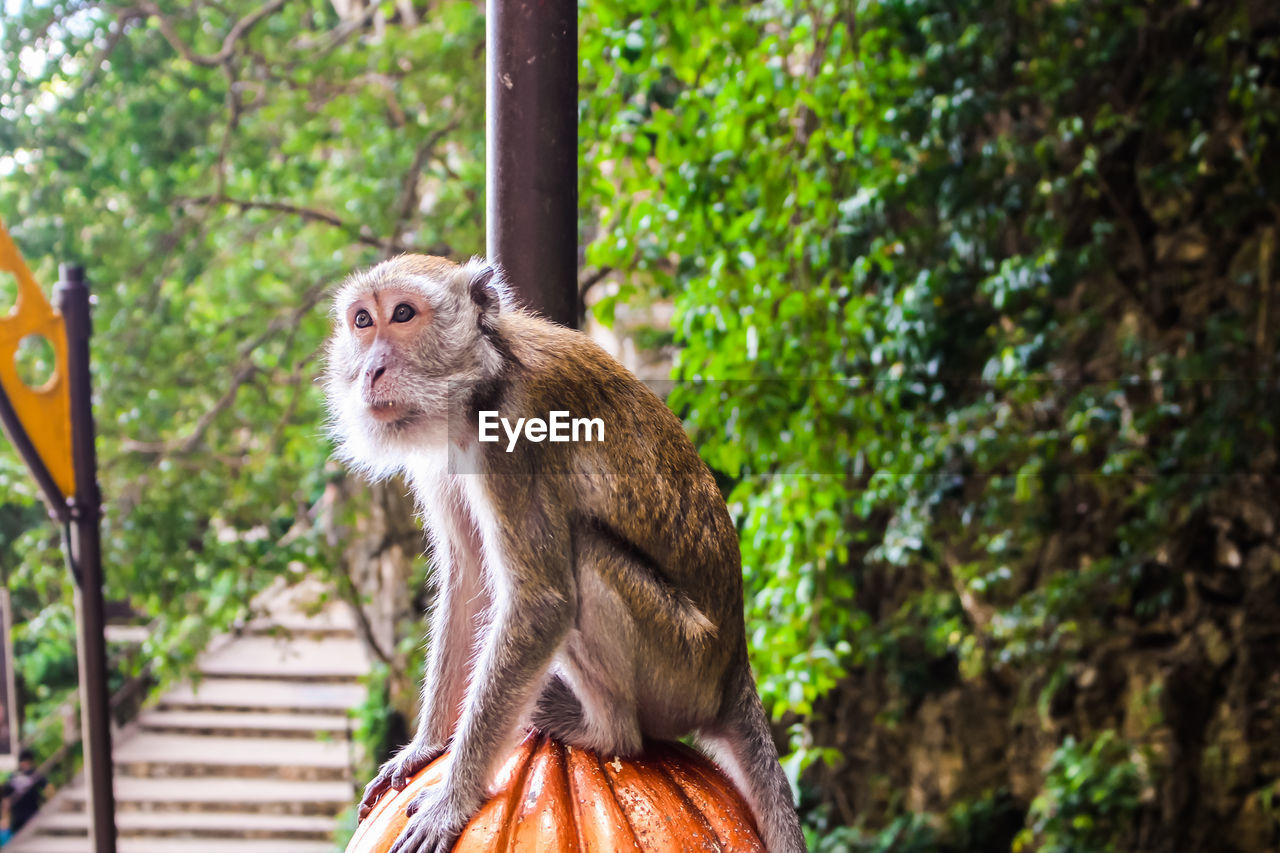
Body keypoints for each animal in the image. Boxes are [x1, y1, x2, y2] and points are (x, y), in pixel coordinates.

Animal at [325, 253, 803, 850]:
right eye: (363, 322)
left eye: (404, 314)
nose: (371, 370)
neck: (483, 383)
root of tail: (734, 665)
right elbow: (470, 576)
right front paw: (426, 746)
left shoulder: (512, 440)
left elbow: (542, 601)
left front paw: (452, 800)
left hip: (680, 668)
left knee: (583, 557)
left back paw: (605, 732)